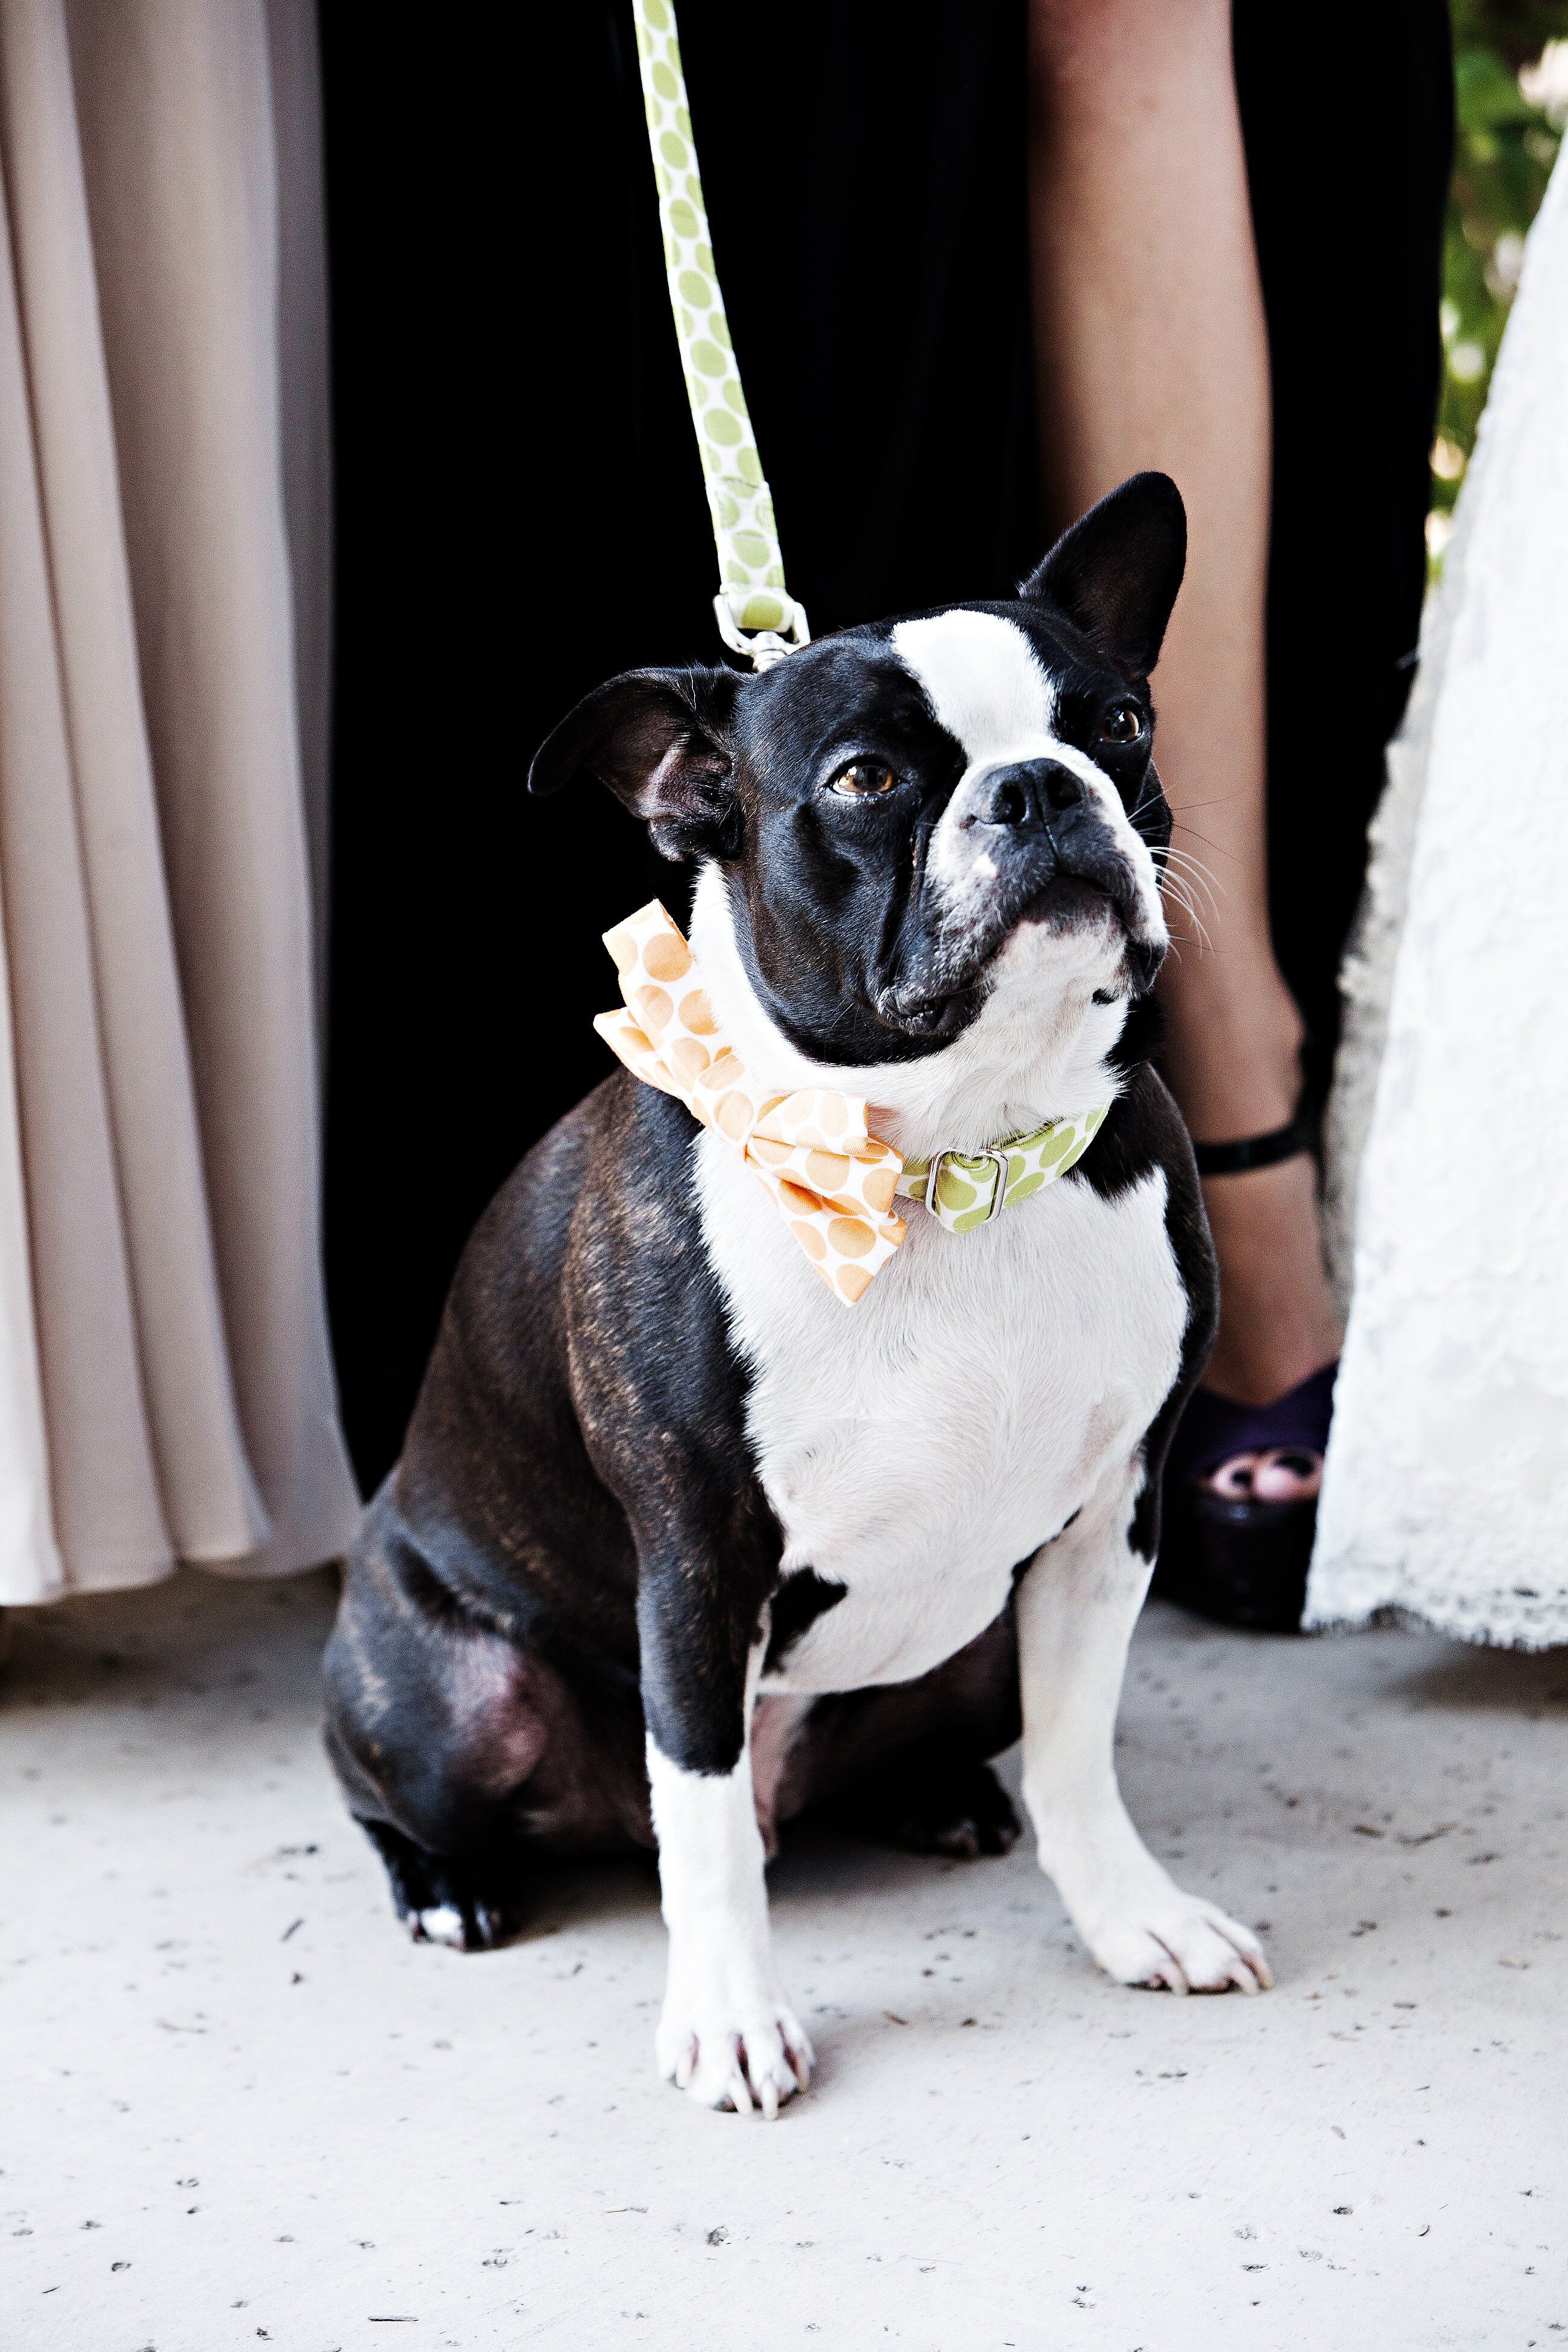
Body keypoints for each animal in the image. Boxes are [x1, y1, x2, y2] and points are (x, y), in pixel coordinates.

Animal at [329, 472, 1279, 2117]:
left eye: (1115, 725)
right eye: (862, 779)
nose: (1037, 788)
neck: (957, 1155)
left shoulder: (1111, 1519)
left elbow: (1079, 1755)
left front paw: (1131, 1918)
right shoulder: (697, 1563)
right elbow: (705, 1830)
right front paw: (726, 2016)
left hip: (975, 1642)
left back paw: (948, 1797)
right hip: (454, 1700)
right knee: (425, 1789)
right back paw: (445, 1887)